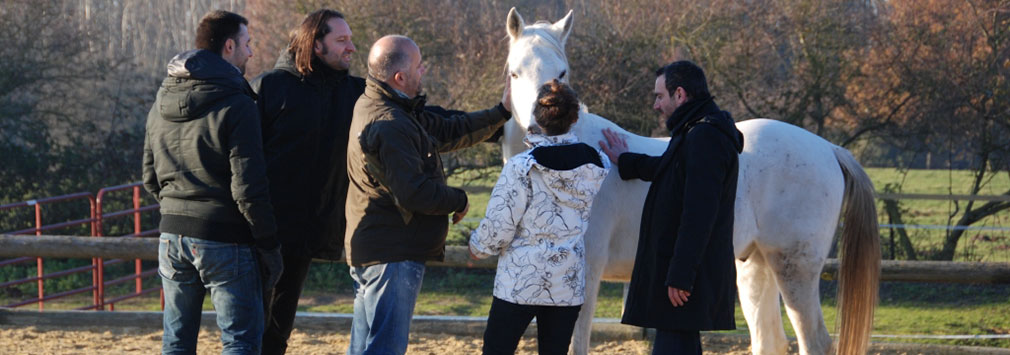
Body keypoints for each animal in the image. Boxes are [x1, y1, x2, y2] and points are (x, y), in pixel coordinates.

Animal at [500, 7, 880, 355]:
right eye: (515, 73)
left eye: (561, 73)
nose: (539, 122)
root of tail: (829, 149)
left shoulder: (586, 275)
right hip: (756, 268)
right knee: (769, 340)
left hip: (794, 269)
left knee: (814, 342)